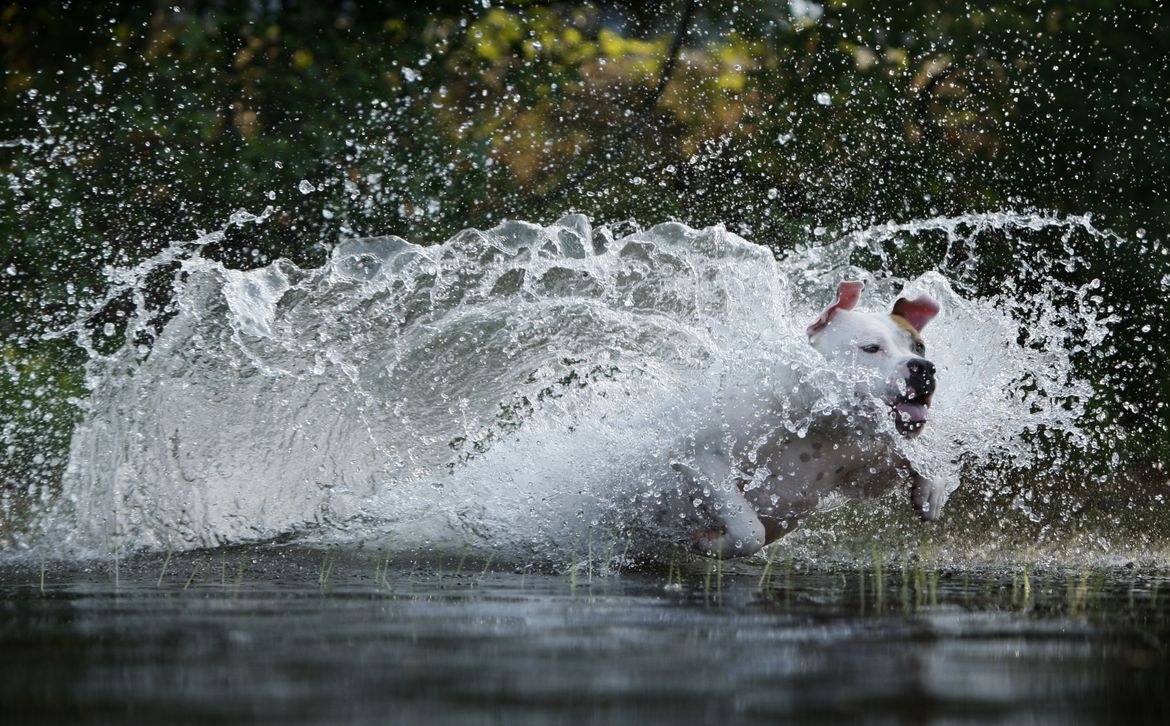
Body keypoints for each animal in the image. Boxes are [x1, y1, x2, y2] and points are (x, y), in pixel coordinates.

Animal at [673, 280, 945, 558]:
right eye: (870, 348)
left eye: (919, 346)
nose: (924, 367)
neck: (817, 421)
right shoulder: (697, 458)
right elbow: (749, 531)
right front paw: (709, 544)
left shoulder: (869, 470)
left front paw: (931, 491)